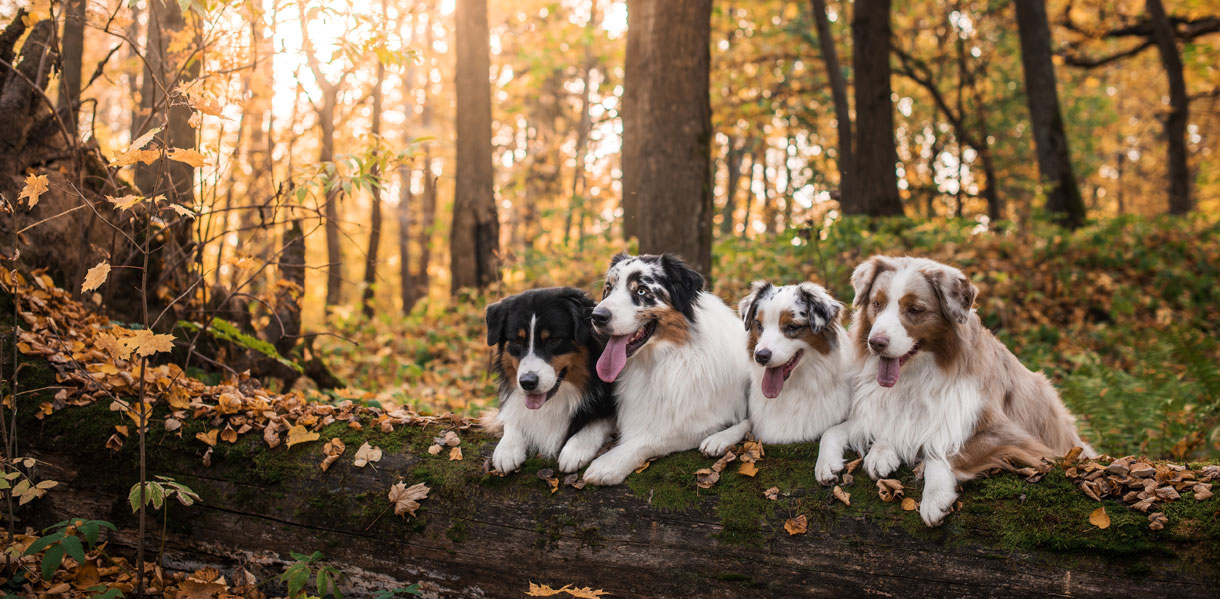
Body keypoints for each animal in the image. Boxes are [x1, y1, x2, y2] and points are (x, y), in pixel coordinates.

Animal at [488, 287, 619, 475]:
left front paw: (575, 449)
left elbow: (600, 420)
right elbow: (514, 415)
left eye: (553, 340)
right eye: (517, 341)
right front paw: (507, 448)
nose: (527, 383)